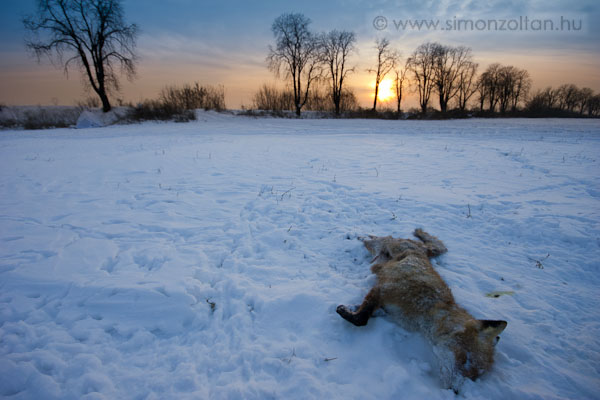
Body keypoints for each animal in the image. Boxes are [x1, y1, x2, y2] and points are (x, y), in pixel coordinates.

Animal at [338, 228, 506, 390]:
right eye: (466, 360)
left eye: (474, 376)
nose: (456, 391)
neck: (427, 308)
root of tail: (422, 250)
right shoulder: (383, 289)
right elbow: (361, 319)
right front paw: (345, 311)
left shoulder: (386, 306)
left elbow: (365, 314)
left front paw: (352, 309)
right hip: (385, 245)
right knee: (379, 238)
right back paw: (358, 235)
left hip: (382, 251)